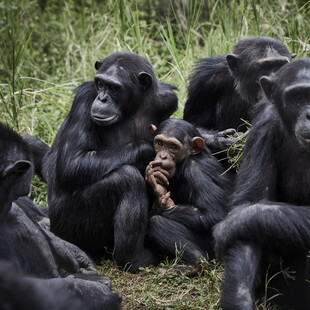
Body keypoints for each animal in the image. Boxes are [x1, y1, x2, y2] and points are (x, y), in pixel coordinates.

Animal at [40, 50, 177, 272]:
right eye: (100, 83)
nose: (102, 98)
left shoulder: (168, 100)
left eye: (114, 88)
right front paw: (150, 149)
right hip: (70, 227)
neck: (133, 107)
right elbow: (72, 163)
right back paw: (134, 259)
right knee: (127, 179)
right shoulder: (85, 98)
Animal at [145, 118, 230, 266]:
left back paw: (196, 260)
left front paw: (164, 201)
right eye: (160, 143)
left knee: (157, 222)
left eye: (173, 147)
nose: (162, 156)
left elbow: (214, 213)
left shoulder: (196, 170)